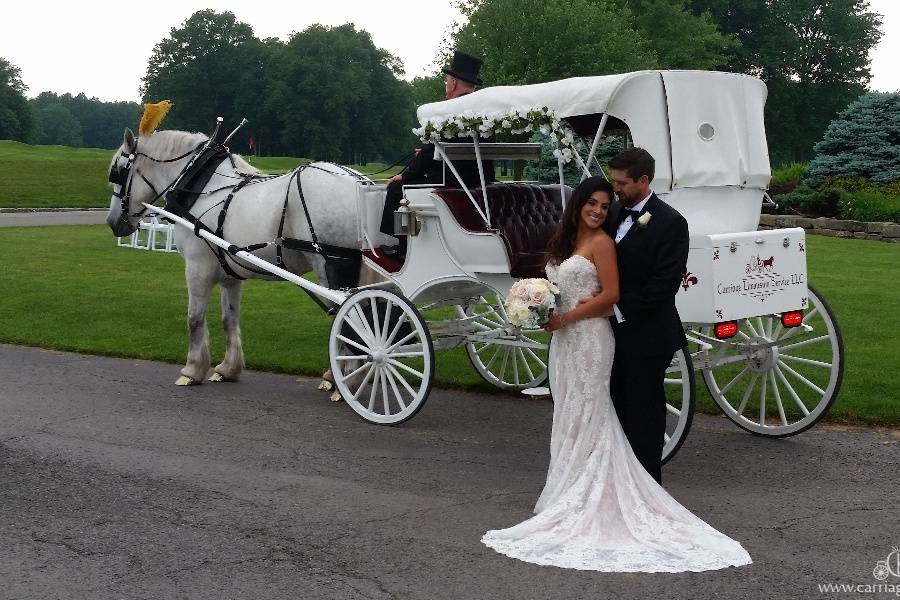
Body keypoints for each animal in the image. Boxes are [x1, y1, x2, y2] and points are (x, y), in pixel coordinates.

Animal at [106, 129, 372, 386]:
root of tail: (360, 181)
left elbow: (194, 318)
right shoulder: (230, 276)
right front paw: (228, 368)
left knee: (352, 320)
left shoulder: (197, 268)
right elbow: (229, 319)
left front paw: (192, 369)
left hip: (331, 269)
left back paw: (345, 378)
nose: (112, 221)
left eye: (117, 172)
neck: (200, 187)